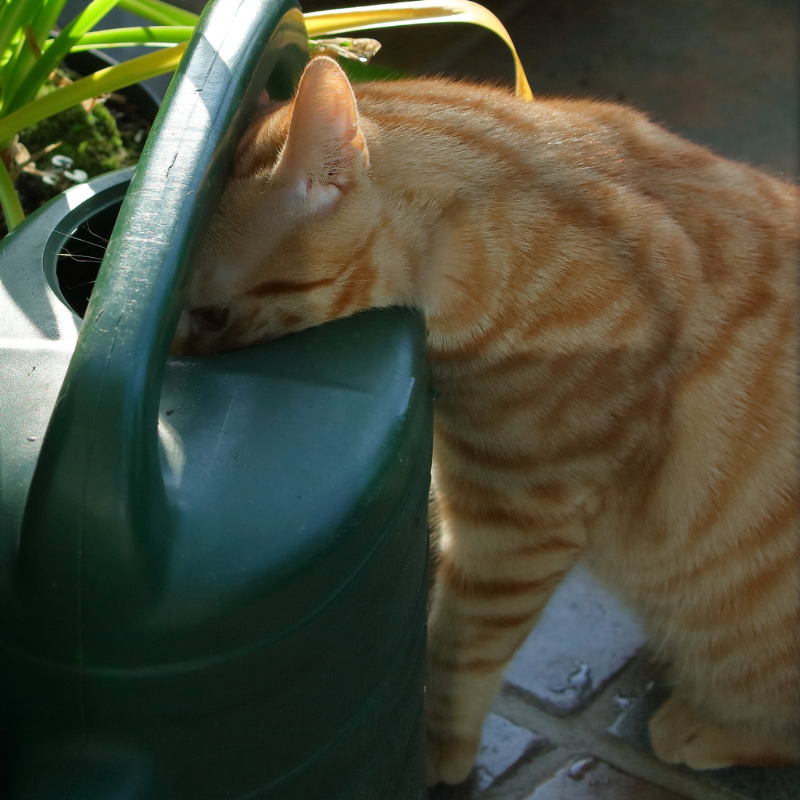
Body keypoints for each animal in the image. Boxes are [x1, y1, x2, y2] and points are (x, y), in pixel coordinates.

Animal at [173, 56, 800, 788]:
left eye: (211, 315)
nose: (172, 364)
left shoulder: (514, 526)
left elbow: (458, 648)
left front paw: (435, 748)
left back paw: (703, 727)